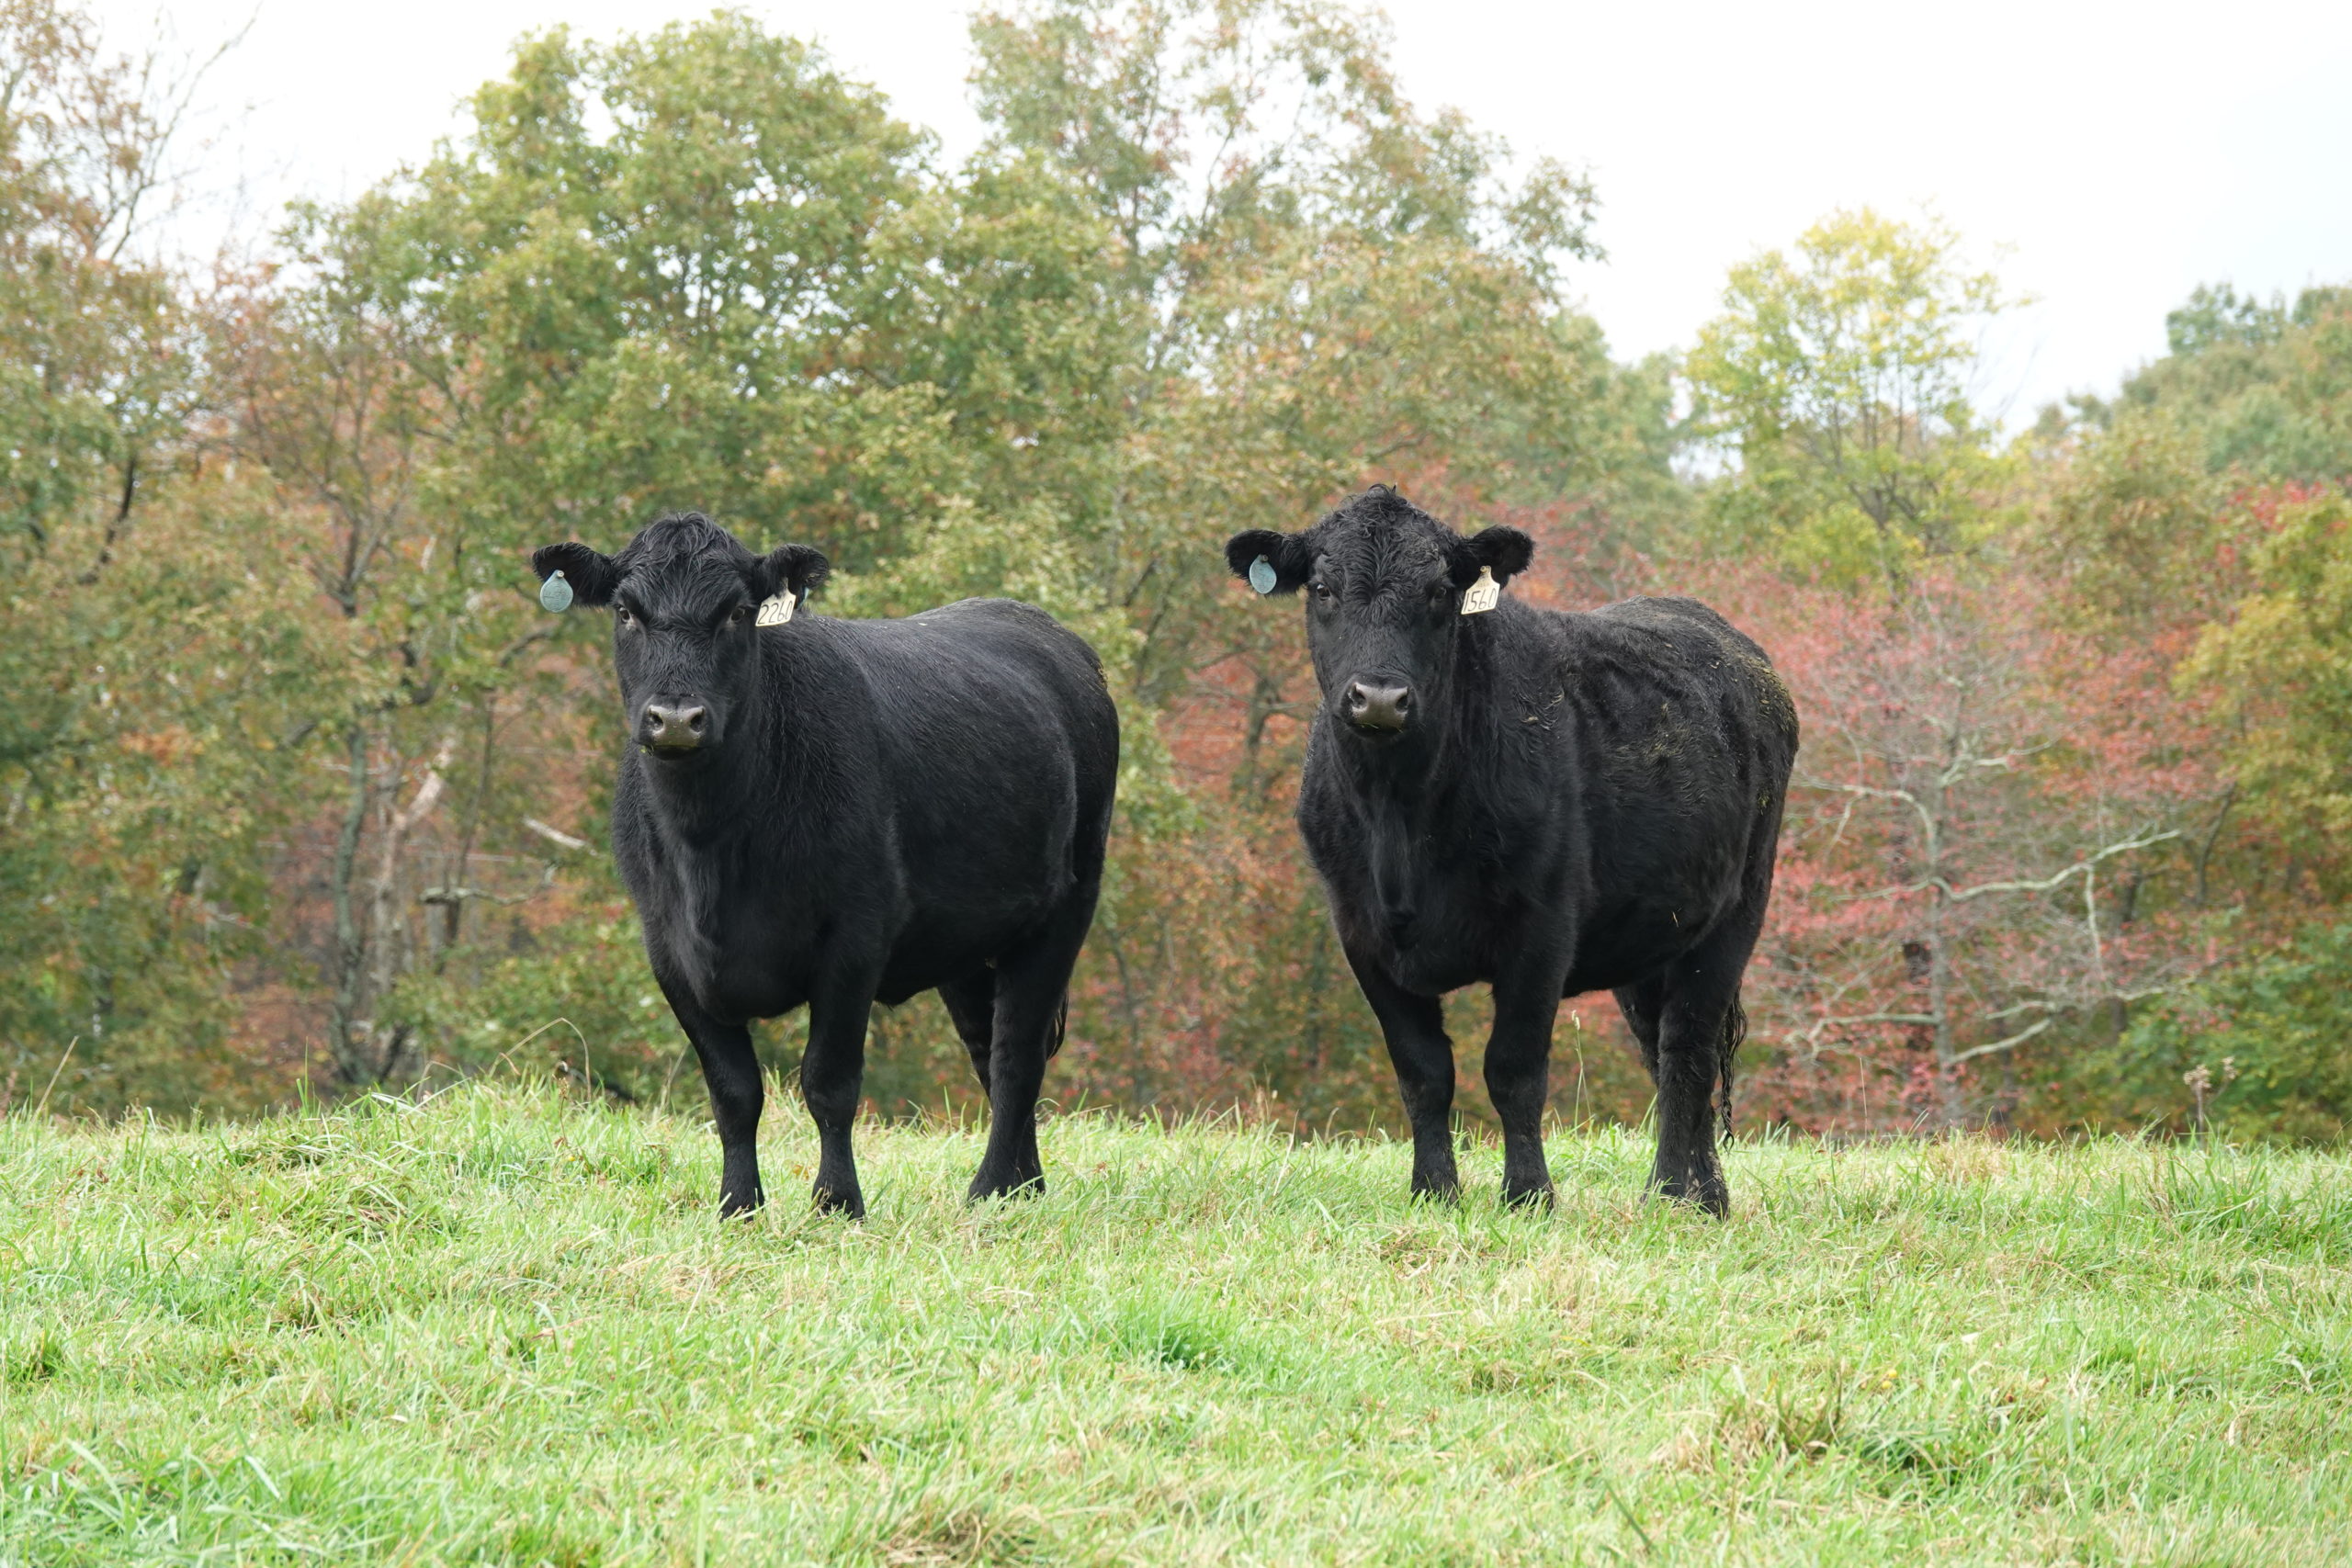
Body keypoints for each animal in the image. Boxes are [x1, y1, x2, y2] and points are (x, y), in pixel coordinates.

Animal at [536, 510, 1119, 1222]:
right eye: (625, 611)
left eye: (736, 611)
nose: (675, 718)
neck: (711, 853)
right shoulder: (669, 952)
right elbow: (733, 1091)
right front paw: (737, 1204)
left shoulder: (855, 938)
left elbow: (829, 1081)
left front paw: (837, 1201)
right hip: (968, 939)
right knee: (989, 1047)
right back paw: (1022, 1186)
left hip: (1067, 906)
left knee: (1017, 1053)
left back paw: (988, 1188)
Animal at [1232, 491, 1796, 1213]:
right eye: (1324, 589)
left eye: (1439, 591)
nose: (1380, 697)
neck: (1399, 821)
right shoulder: (1361, 934)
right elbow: (1423, 1071)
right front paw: (1434, 1191)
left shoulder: (1541, 928)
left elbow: (1513, 1068)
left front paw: (1528, 1195)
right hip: (1652, 934)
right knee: (1661, 1048)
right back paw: (1704, 1195)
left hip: (1738, 909)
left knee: (1688, 1046)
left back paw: (1672, 1192)